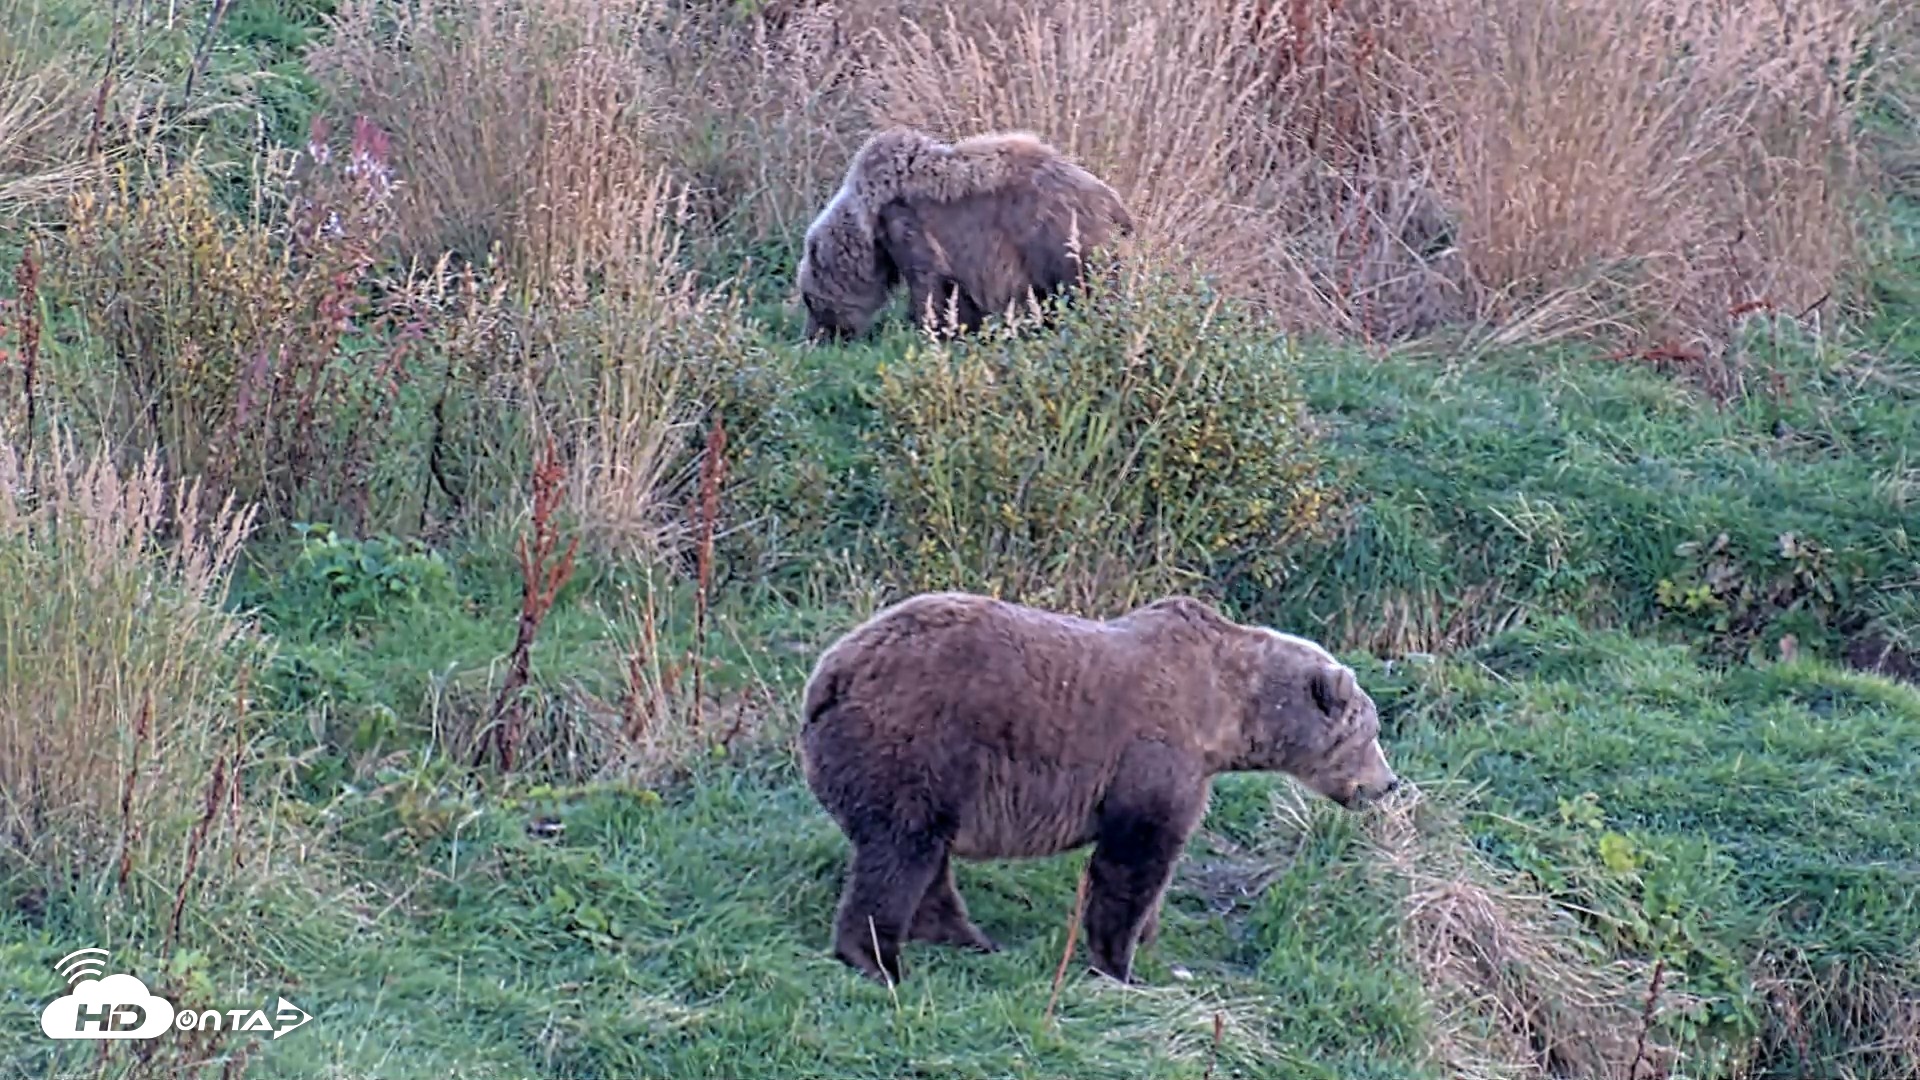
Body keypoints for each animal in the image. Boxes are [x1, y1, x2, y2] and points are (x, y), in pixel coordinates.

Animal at [794, 126, 1135, 343]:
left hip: (1058, 235)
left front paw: (926, 328)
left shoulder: (905, 224)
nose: (813, 336)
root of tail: (1115, 202)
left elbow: (929, 284)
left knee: (1086, 285)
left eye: (809, 300)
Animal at [797, 591, 1402, 987]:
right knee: (902, 852)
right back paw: (878, 960)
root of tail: (831, 672)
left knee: (925, 856)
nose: (1387, 784)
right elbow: (1133, 858)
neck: (1228, 712)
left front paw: (1148, 935)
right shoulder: (1154, 755)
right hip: (915, 743)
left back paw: (968, 937)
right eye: (1370, 733)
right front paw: (1119, 964)